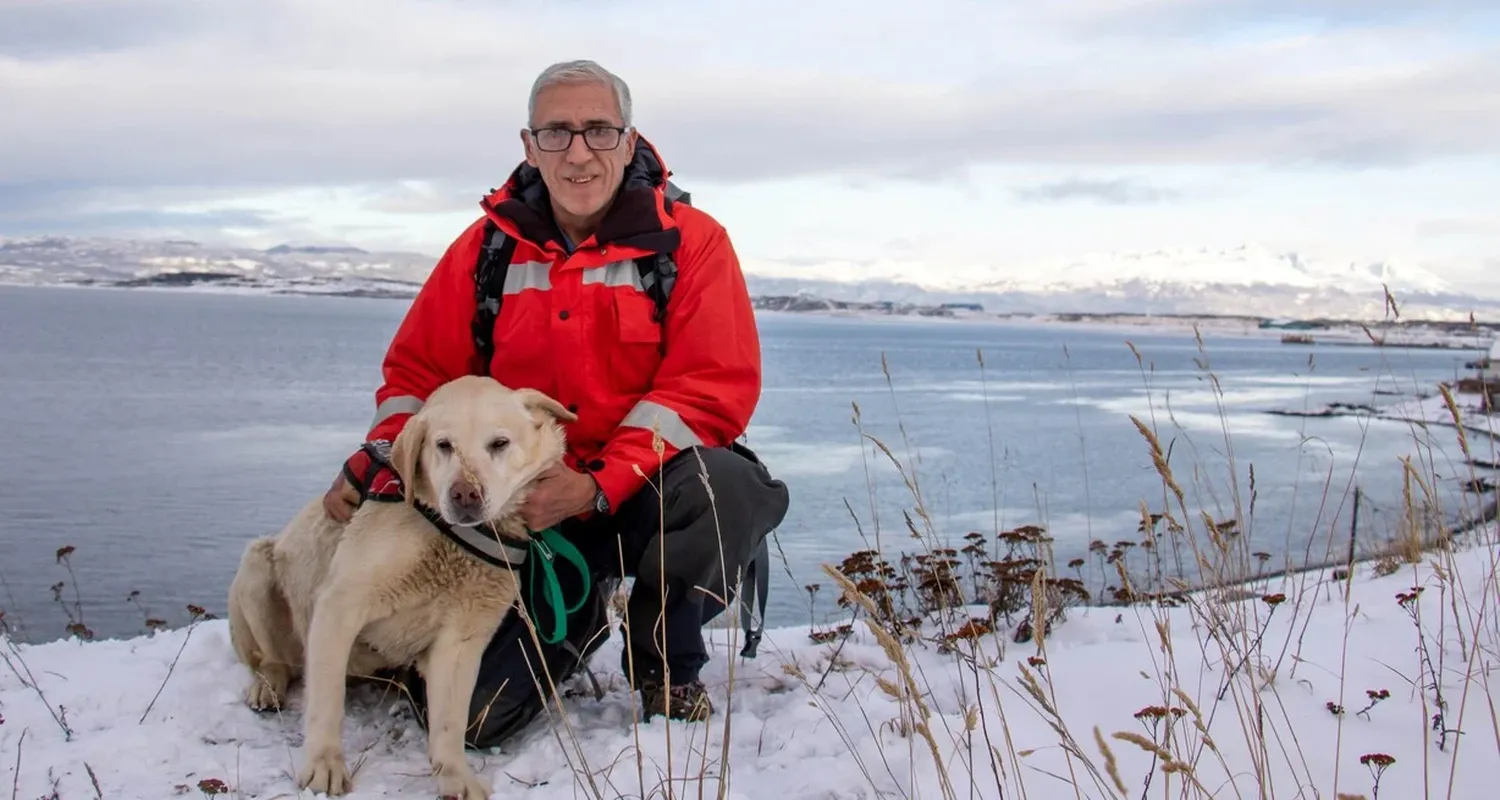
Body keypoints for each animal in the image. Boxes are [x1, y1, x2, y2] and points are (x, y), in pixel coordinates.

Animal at [225, 375, 576, 798]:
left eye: (499, 443)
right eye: (443, 445)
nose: (465, 494)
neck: (447, 538)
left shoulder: (463, 639)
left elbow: (450, 722)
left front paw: (455, 776)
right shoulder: (338, 608)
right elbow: (326, 703)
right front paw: (324, 765)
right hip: (256, 567)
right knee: (273, 660)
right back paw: (267, 686)